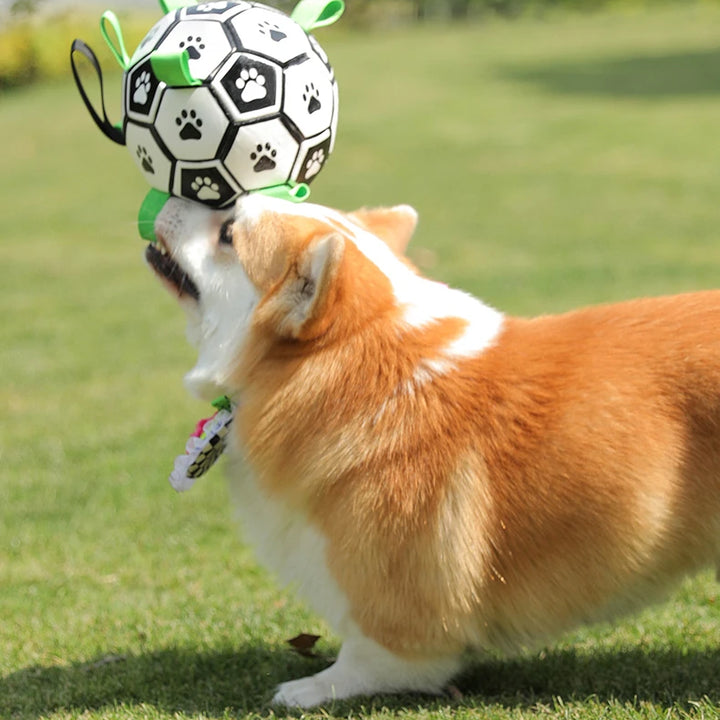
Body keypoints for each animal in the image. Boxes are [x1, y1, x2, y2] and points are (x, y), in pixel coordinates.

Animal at [148, 194, 720, 704]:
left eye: (227, 232)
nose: (171, 196)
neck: (349, 357)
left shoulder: (386, 579)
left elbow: (369, 653)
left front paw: (312, 688)